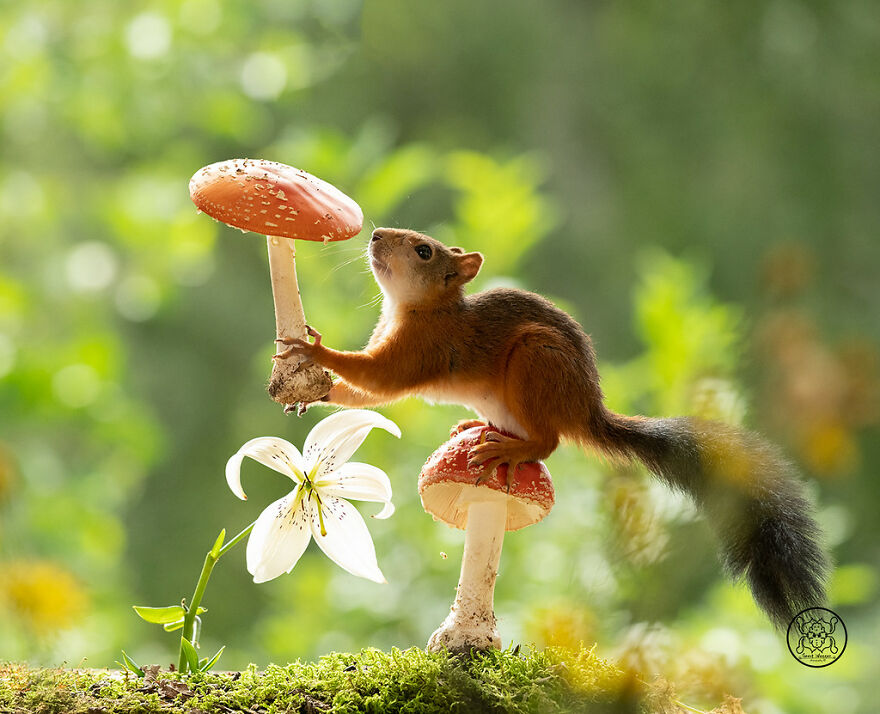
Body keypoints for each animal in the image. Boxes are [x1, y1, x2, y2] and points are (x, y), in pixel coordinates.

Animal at [276, 227, 829, 628]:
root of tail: (584, 409)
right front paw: (314, 390)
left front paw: (315, 353)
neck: (421, 308)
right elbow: (363, 393)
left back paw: (509, 450)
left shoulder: (424, 349)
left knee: (549, 442)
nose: (374, 235)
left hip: (536, 362)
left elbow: (378, 379)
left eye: (423, 250)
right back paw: (472, 425)